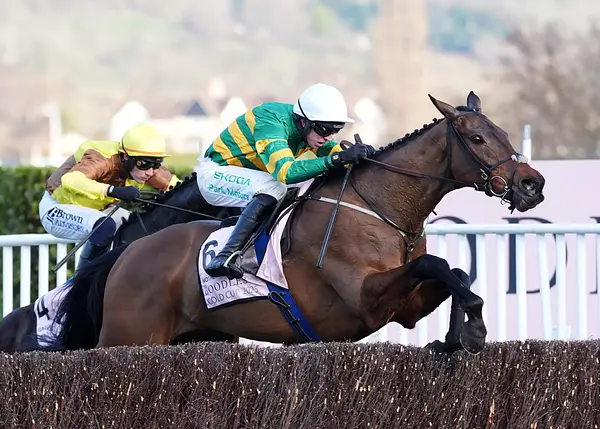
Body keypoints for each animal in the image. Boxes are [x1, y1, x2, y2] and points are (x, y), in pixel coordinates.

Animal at [52, 91, 546, 354]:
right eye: (477, 137)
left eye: (504, 133)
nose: (532, 183)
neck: (379, 209)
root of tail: (125, 253)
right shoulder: (364, 300)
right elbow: (437, 266)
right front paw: (474, 328)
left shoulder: (402, 308)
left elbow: (452, 271)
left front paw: (454, 338)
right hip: (127, 337)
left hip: (203, 337)